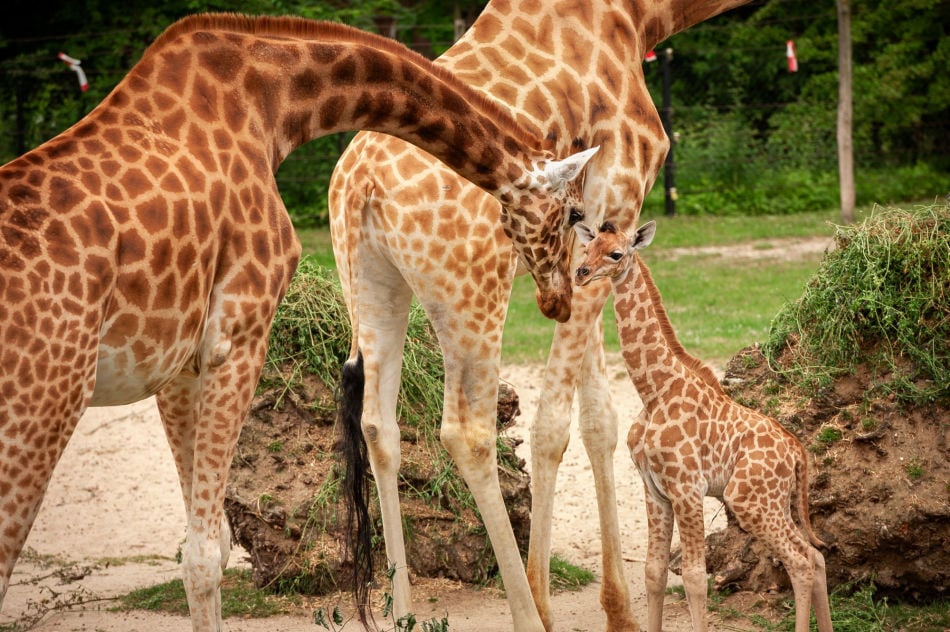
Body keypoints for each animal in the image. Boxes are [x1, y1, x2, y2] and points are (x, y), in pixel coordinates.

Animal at [0, 14, 600, 632]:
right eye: (575, 213)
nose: (560, 299)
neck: (273, 104)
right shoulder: (237, 337)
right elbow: (201, 559)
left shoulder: (177, 367)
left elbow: (210, 543)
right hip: (43, 405)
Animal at [330, 1, 756, 632]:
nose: (550, 304)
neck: (643, 18)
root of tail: (360, 186)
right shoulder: (619, 189)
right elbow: (555, 423)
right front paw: (559, 601)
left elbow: (600, 416)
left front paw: (619, 611)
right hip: (472, 294)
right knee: (467, 431)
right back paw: (527, 613)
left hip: (374, 285)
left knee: (379, 425)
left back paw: (404, 614)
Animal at [572, 222, 832, 632]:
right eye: (588, 246)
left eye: (616, 254)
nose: (581, 274)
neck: (653, 391)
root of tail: (798, 453)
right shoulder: (654, 488)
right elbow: (654, 571)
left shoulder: (686, 487)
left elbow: (695, 576)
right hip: (776, 501)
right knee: (816, 557)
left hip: (749, 498)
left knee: (801, 561)